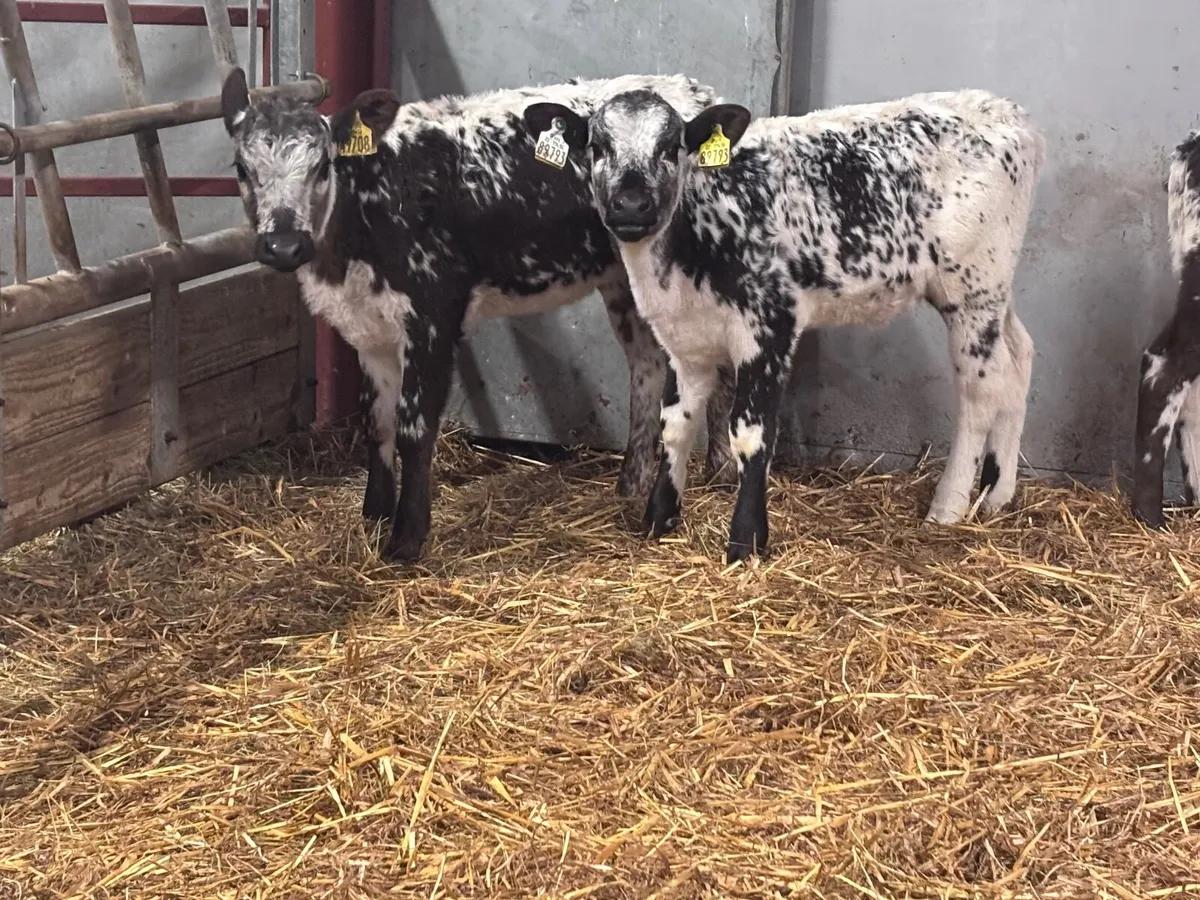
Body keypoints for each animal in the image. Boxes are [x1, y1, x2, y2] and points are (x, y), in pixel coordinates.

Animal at [218, 67, 737, 562]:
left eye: (323, 164)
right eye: (242, 168)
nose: (284, 245)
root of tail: (696, 91)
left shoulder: (432, 314)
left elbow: (413, 428)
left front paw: (406, 537)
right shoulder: (369, 328)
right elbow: (376, 420)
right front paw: (374, 513)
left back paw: (722, 469)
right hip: (622, 278)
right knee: (646, 362)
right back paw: (632, 482)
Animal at [523, 88, 1045, 562]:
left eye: (672, 146)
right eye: (597, 146)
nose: (631, 205)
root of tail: (1007, 111)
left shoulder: (769, 324)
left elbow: (749, 433)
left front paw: (745, 543)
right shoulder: (682, 338)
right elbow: (675, 425)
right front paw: (658, 520)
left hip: (973, 286)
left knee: (981, 389)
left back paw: (950, 504)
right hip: (997, 291)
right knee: (1019, 356)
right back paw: (997, 495)